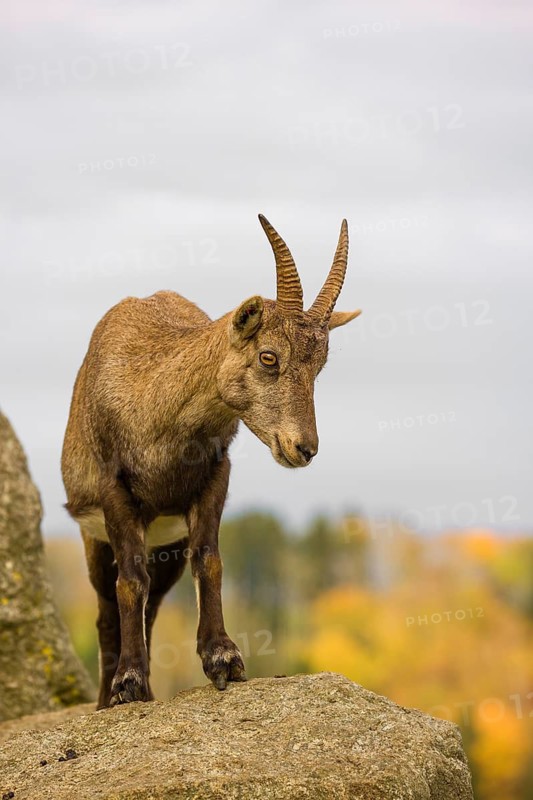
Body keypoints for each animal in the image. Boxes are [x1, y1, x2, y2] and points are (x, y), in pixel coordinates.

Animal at [61, 215, 361, 708]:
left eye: (318, 366)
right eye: (268, 356)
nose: (304, 448)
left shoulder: (213, 479)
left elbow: (210, 562)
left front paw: (223, 658)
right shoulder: (115, 492)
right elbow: (130, 581)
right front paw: (128, 682)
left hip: (166, 541)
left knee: (153, 605)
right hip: (94, 537)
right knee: (108, 608)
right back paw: (109, 696)